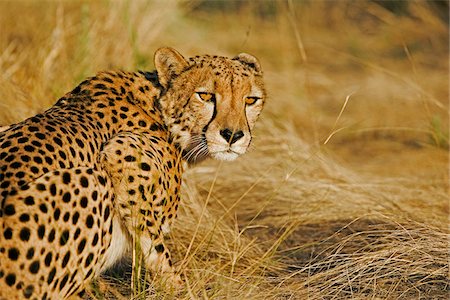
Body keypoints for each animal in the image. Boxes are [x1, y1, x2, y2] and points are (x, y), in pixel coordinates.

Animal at [0, 48, 266, 298]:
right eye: (206, 96)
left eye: (251, 100)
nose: (233, 135)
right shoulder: (123, 150)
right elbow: (157, 250)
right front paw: (181, 289)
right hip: (91, 181)